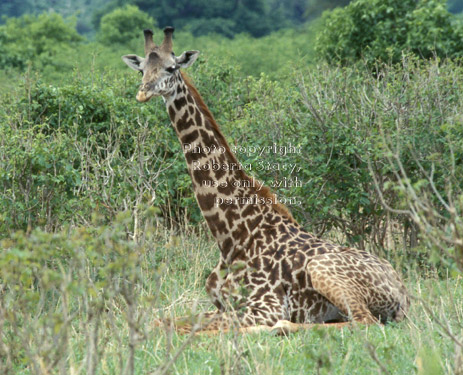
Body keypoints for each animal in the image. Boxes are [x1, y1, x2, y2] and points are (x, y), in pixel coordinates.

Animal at [122, 28, 410, 334]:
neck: (231, 237)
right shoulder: (220, 304)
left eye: (171, 67)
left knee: (363, 321)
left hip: (321, 272)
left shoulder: (264, 306)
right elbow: (160, 320)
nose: (143, 92)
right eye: (141, 69)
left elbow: (196, 328)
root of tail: (403, 291)